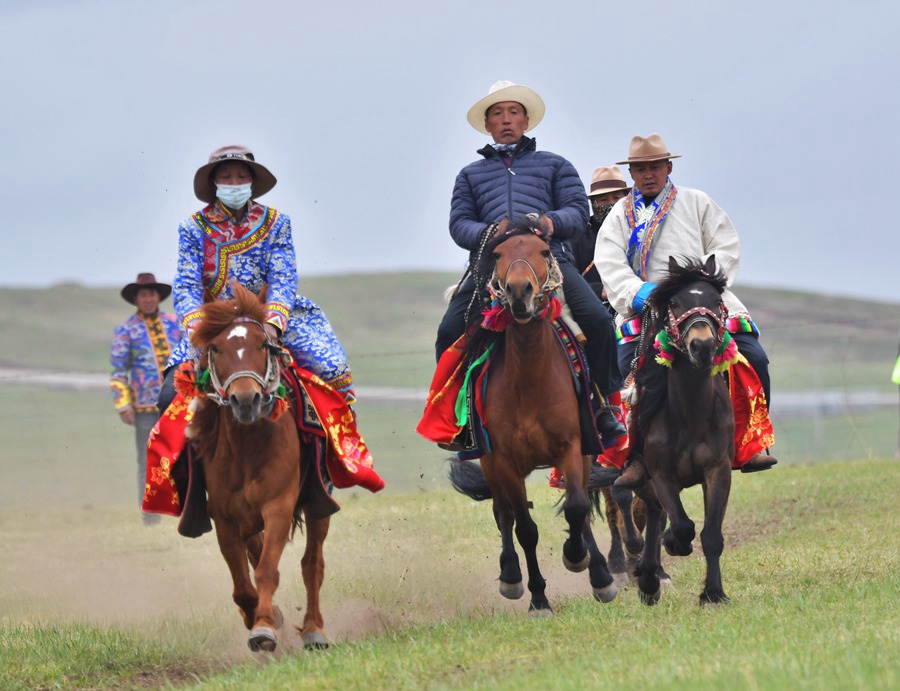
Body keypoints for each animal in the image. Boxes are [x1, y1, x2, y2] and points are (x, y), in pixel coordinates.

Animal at [189, 284, 330, 652]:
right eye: (216, 347)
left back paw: (314, 630)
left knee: (313, 564)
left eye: (263, 345)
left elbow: (268, 570)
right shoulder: (224, 518)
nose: (246, 400)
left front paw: (264, 627)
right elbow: (242, 584)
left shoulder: (278, 507)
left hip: (319, 504)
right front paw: (263, 617)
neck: (247, 447)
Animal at [450, 223, 620, 616]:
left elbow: (576, 507)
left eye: (544, 250)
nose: (519, 292)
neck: (529, 377)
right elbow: (525, 528)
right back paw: (511, 576)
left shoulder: (572, 447)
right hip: (491, 463)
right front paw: (538, 597)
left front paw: (580, 560)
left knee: (580, 506)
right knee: (503, 513)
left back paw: (598, 573)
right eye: (498, 253)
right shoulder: (504, 460)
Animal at [628, 255, 736, 604]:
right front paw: (674, 544)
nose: (701, 346)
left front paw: (713, 593)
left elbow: (711, 534)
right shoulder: (661, 474)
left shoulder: (718, 470)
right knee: (653, 513)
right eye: (675, 303)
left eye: (716, 301)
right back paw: (649, 578)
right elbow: (682, 525)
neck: (689, 413)